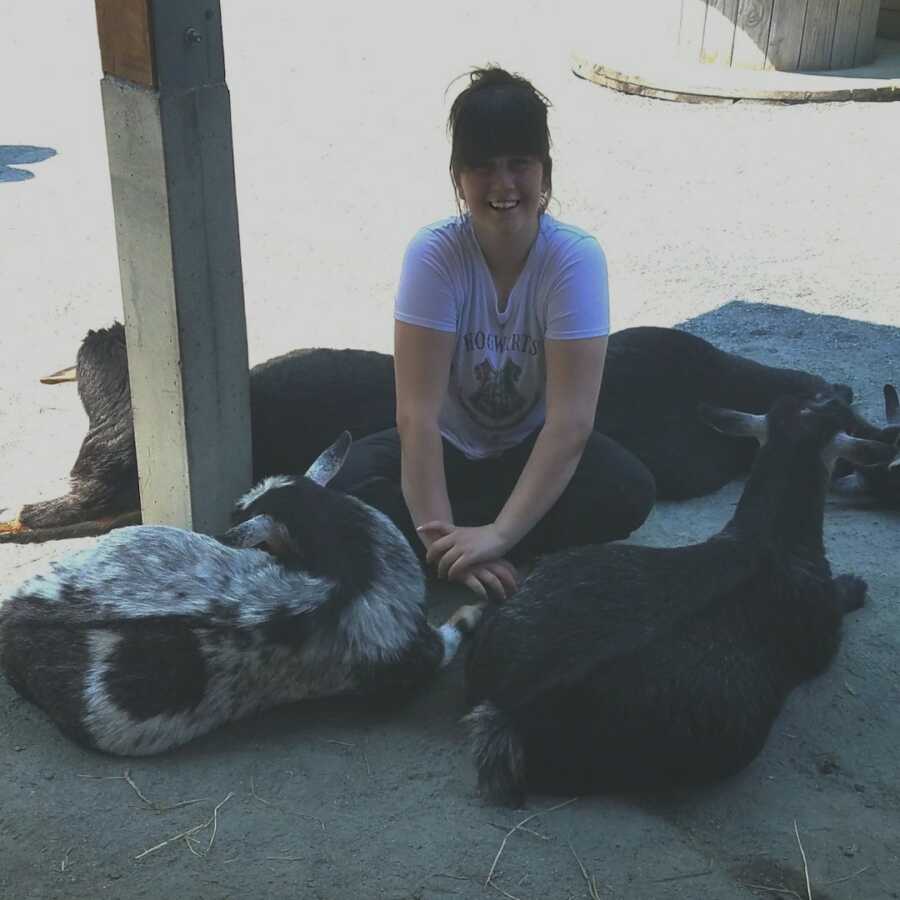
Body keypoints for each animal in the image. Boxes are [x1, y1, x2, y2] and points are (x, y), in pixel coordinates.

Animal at [464, 394, 900, 800]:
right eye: (837, 413)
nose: (839, 396)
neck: (769, 538)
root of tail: (510, 704)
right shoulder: (822, 634)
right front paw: (855, 584)